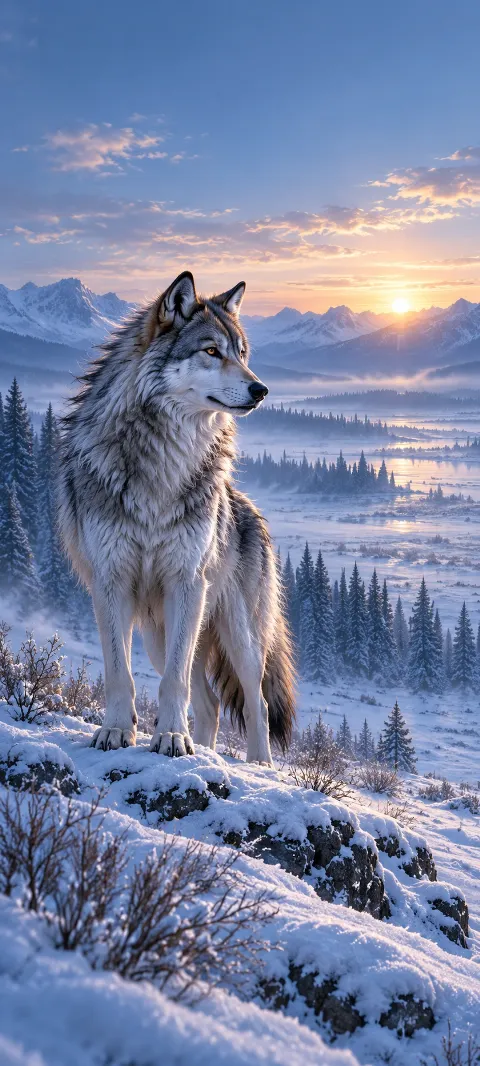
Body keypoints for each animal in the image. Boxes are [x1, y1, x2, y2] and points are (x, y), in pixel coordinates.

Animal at [58, 271, 295, 763]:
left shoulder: (187, 581)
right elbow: (119, 673)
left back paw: (259, 765)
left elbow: (175, 681)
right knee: (210, 704)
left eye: (242, 353)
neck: (163, 462)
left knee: (257, 701)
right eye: (211, 351)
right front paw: (116, 731)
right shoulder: (111, 582)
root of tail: (252, 511)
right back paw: (202, 748)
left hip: (237, 633)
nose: (261, 390)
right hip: (157, 634)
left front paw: (169, 737)